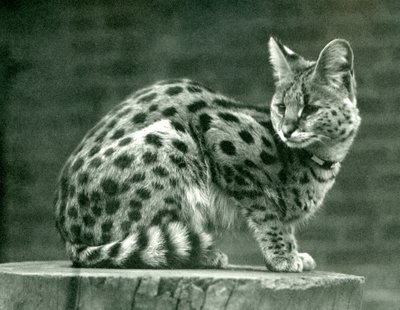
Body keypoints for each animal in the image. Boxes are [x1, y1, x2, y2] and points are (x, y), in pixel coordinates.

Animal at [53, 38, 360, 272]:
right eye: (282, 107)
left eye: (310, 109)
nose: (286, 130)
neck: (320, 159)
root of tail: (68, 237)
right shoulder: (217, 135)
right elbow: (269, 215)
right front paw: (282, 256)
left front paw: (293, 253)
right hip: (175, 141)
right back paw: (202, 256)